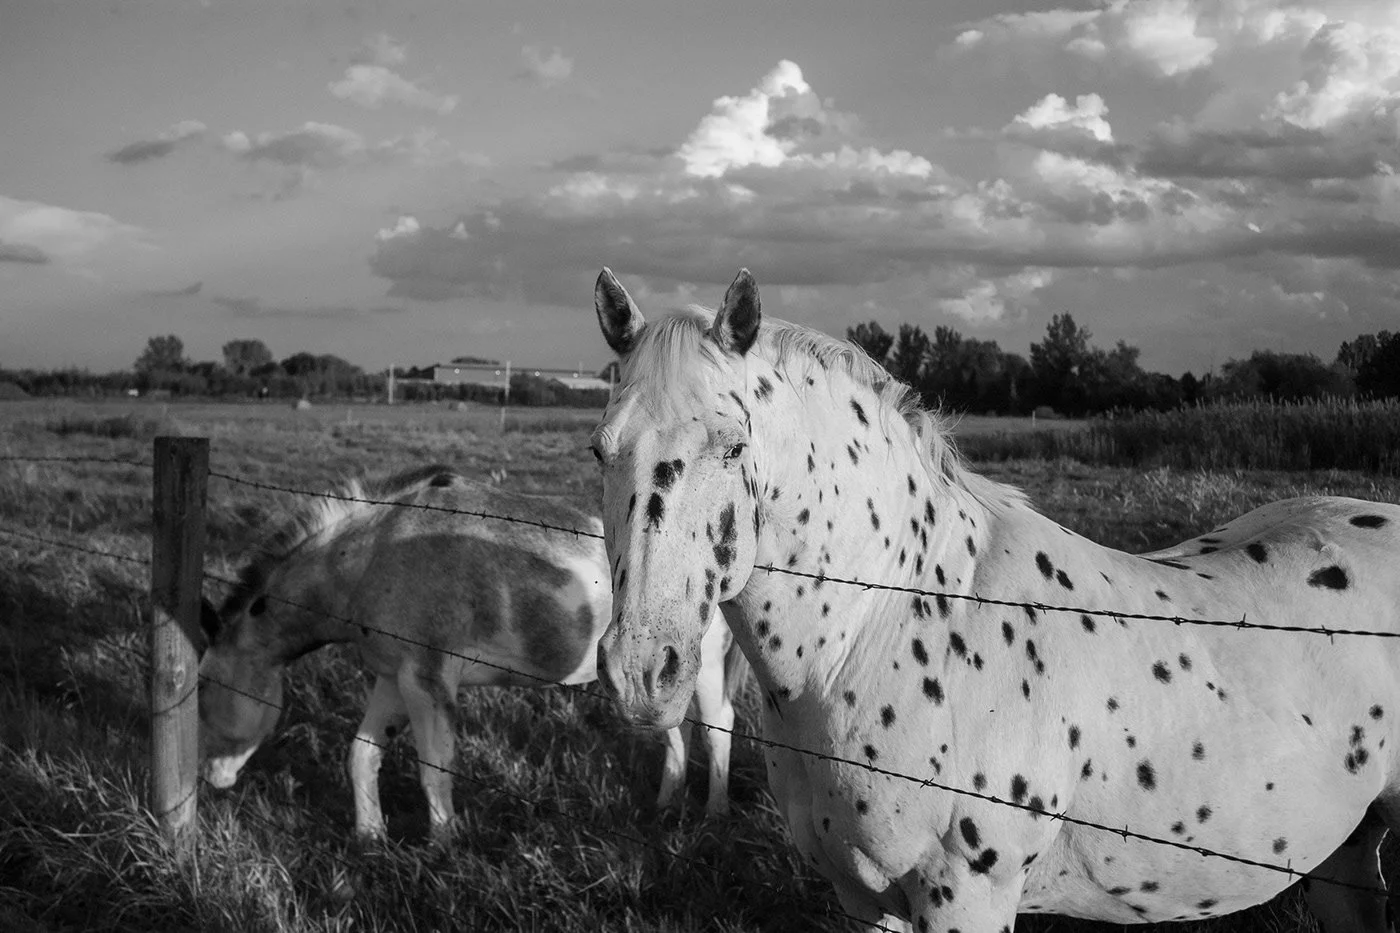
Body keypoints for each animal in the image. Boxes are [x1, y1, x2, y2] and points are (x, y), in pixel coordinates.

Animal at [198, 464, 744, 841]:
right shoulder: (392, 680)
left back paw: (715, 815)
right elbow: (362, 755)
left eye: (204, 687)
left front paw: (444, 844)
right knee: (675, 736)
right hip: (657, 682)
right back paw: (666, 806)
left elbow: (434, 768)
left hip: (703, 672)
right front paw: (370, 835)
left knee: (718, 729)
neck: (373, 554)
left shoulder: (426, 682)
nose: (212, 778)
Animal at [587, 267, 1400, 933]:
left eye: (732, 447)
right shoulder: (865, 900)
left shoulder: (967, 899)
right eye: (601, 450)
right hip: (1343, 857)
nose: (642, 673)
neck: (886, 627)